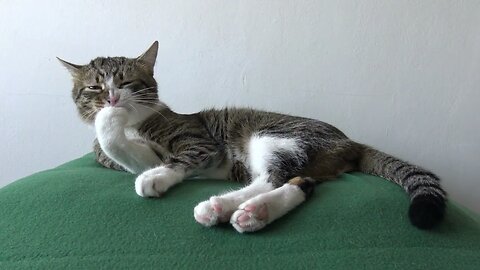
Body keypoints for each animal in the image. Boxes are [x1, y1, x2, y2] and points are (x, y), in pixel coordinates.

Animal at [59, 41, 446, 233]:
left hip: (273, 135)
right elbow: (117, 150)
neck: (135, 123)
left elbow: (171, 159)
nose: (112, 98)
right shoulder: (135, 155)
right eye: (94, 87)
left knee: (275, 177)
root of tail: (350, 140)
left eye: (126, 82)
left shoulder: (199, 142)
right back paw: (237, 210)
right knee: (297, 181)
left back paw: (238, 208)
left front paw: (153, 175)